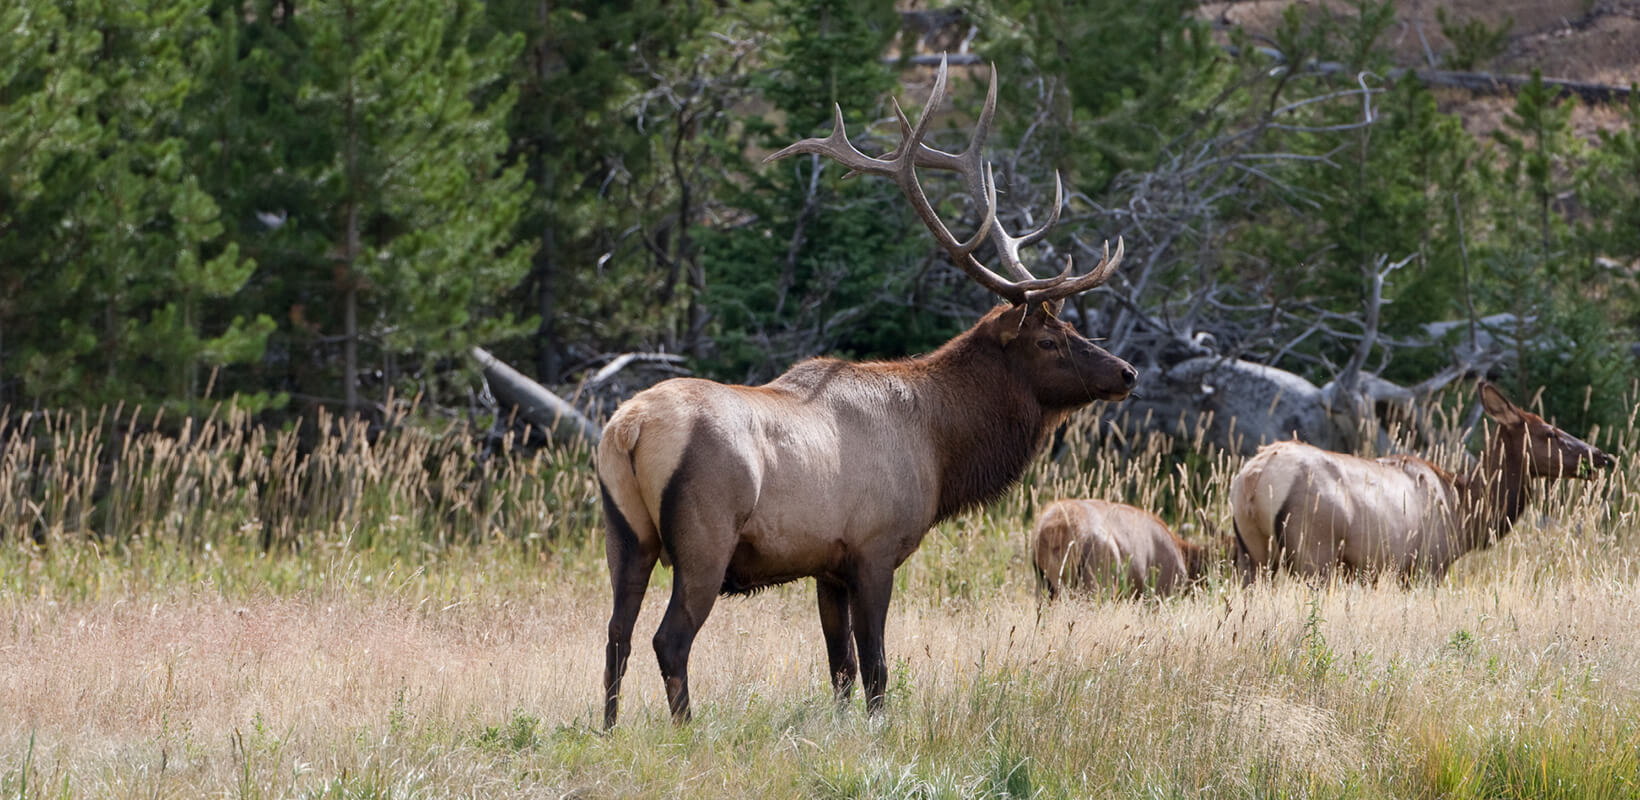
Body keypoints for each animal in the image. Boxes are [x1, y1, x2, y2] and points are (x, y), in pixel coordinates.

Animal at [593, 59, 1141, 727]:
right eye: (1048, 339)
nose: (1126, 373)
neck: (940, 445)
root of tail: (628, 428)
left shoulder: (827, 565)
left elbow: (840, 667)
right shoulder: (874, 550)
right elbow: (877, 667)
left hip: (626, 534)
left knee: (615, 634)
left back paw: (609, 729)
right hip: (704, 536)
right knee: (668, 638)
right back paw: (685, 729)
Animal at [1233, 383, 1613, 580]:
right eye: (1550, 432)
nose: (1600, 455)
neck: (1465, 514)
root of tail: (1254, 478)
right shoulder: (1428, 566)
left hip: (1252, 554)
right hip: (1314, 551)